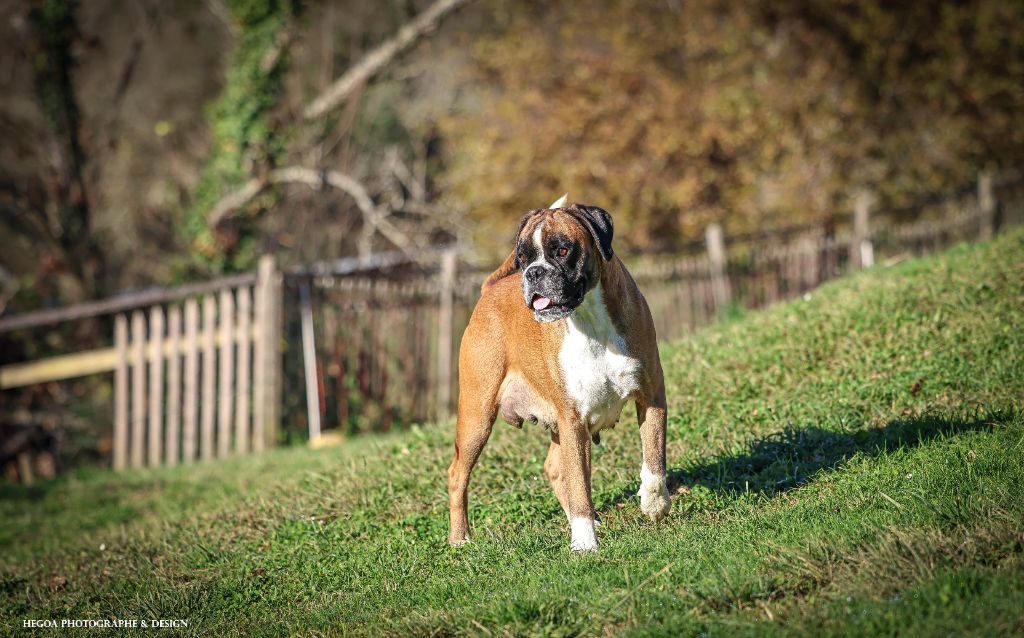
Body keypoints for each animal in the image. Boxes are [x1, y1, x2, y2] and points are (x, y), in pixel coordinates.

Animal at [448, 193, 671, 548]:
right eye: (523, 258)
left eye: (563, 250)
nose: (533, 273)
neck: (590, 320)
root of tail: (488, 291)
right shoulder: (573, 419)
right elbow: (579, 483)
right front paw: (585, 545)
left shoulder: (651, 397)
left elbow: (654, 458)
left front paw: (654, 503)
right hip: (477, 416)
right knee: (458, 474)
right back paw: (460, 539)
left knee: (553, 467)